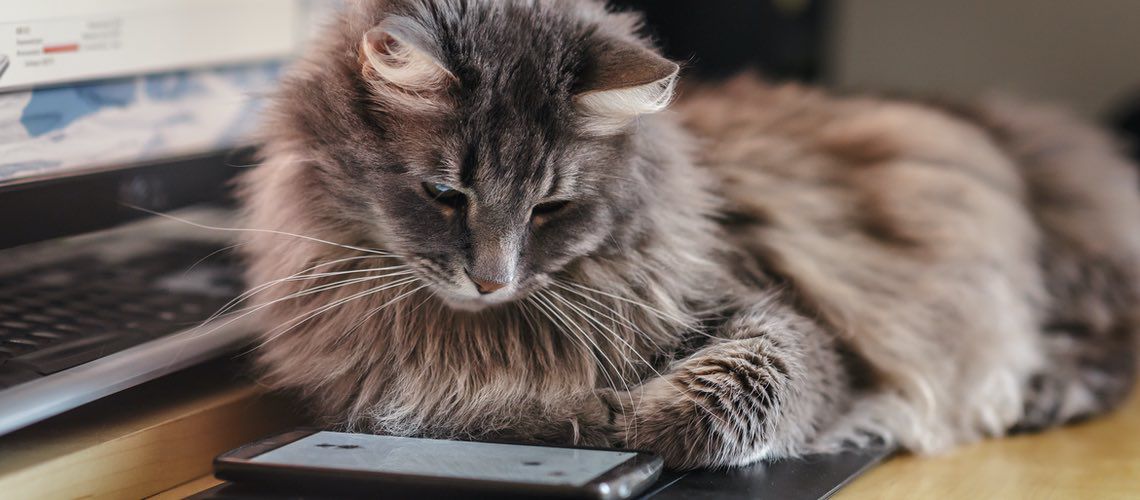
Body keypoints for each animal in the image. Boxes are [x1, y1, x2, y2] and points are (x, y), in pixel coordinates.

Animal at [235, 0, 1135, 469]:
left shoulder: (783, 319)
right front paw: (576, 413)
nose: (492, 280)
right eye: (444, 196)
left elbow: (729, 397)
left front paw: (625, 417)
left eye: (550, 209)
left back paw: (1040, 392)